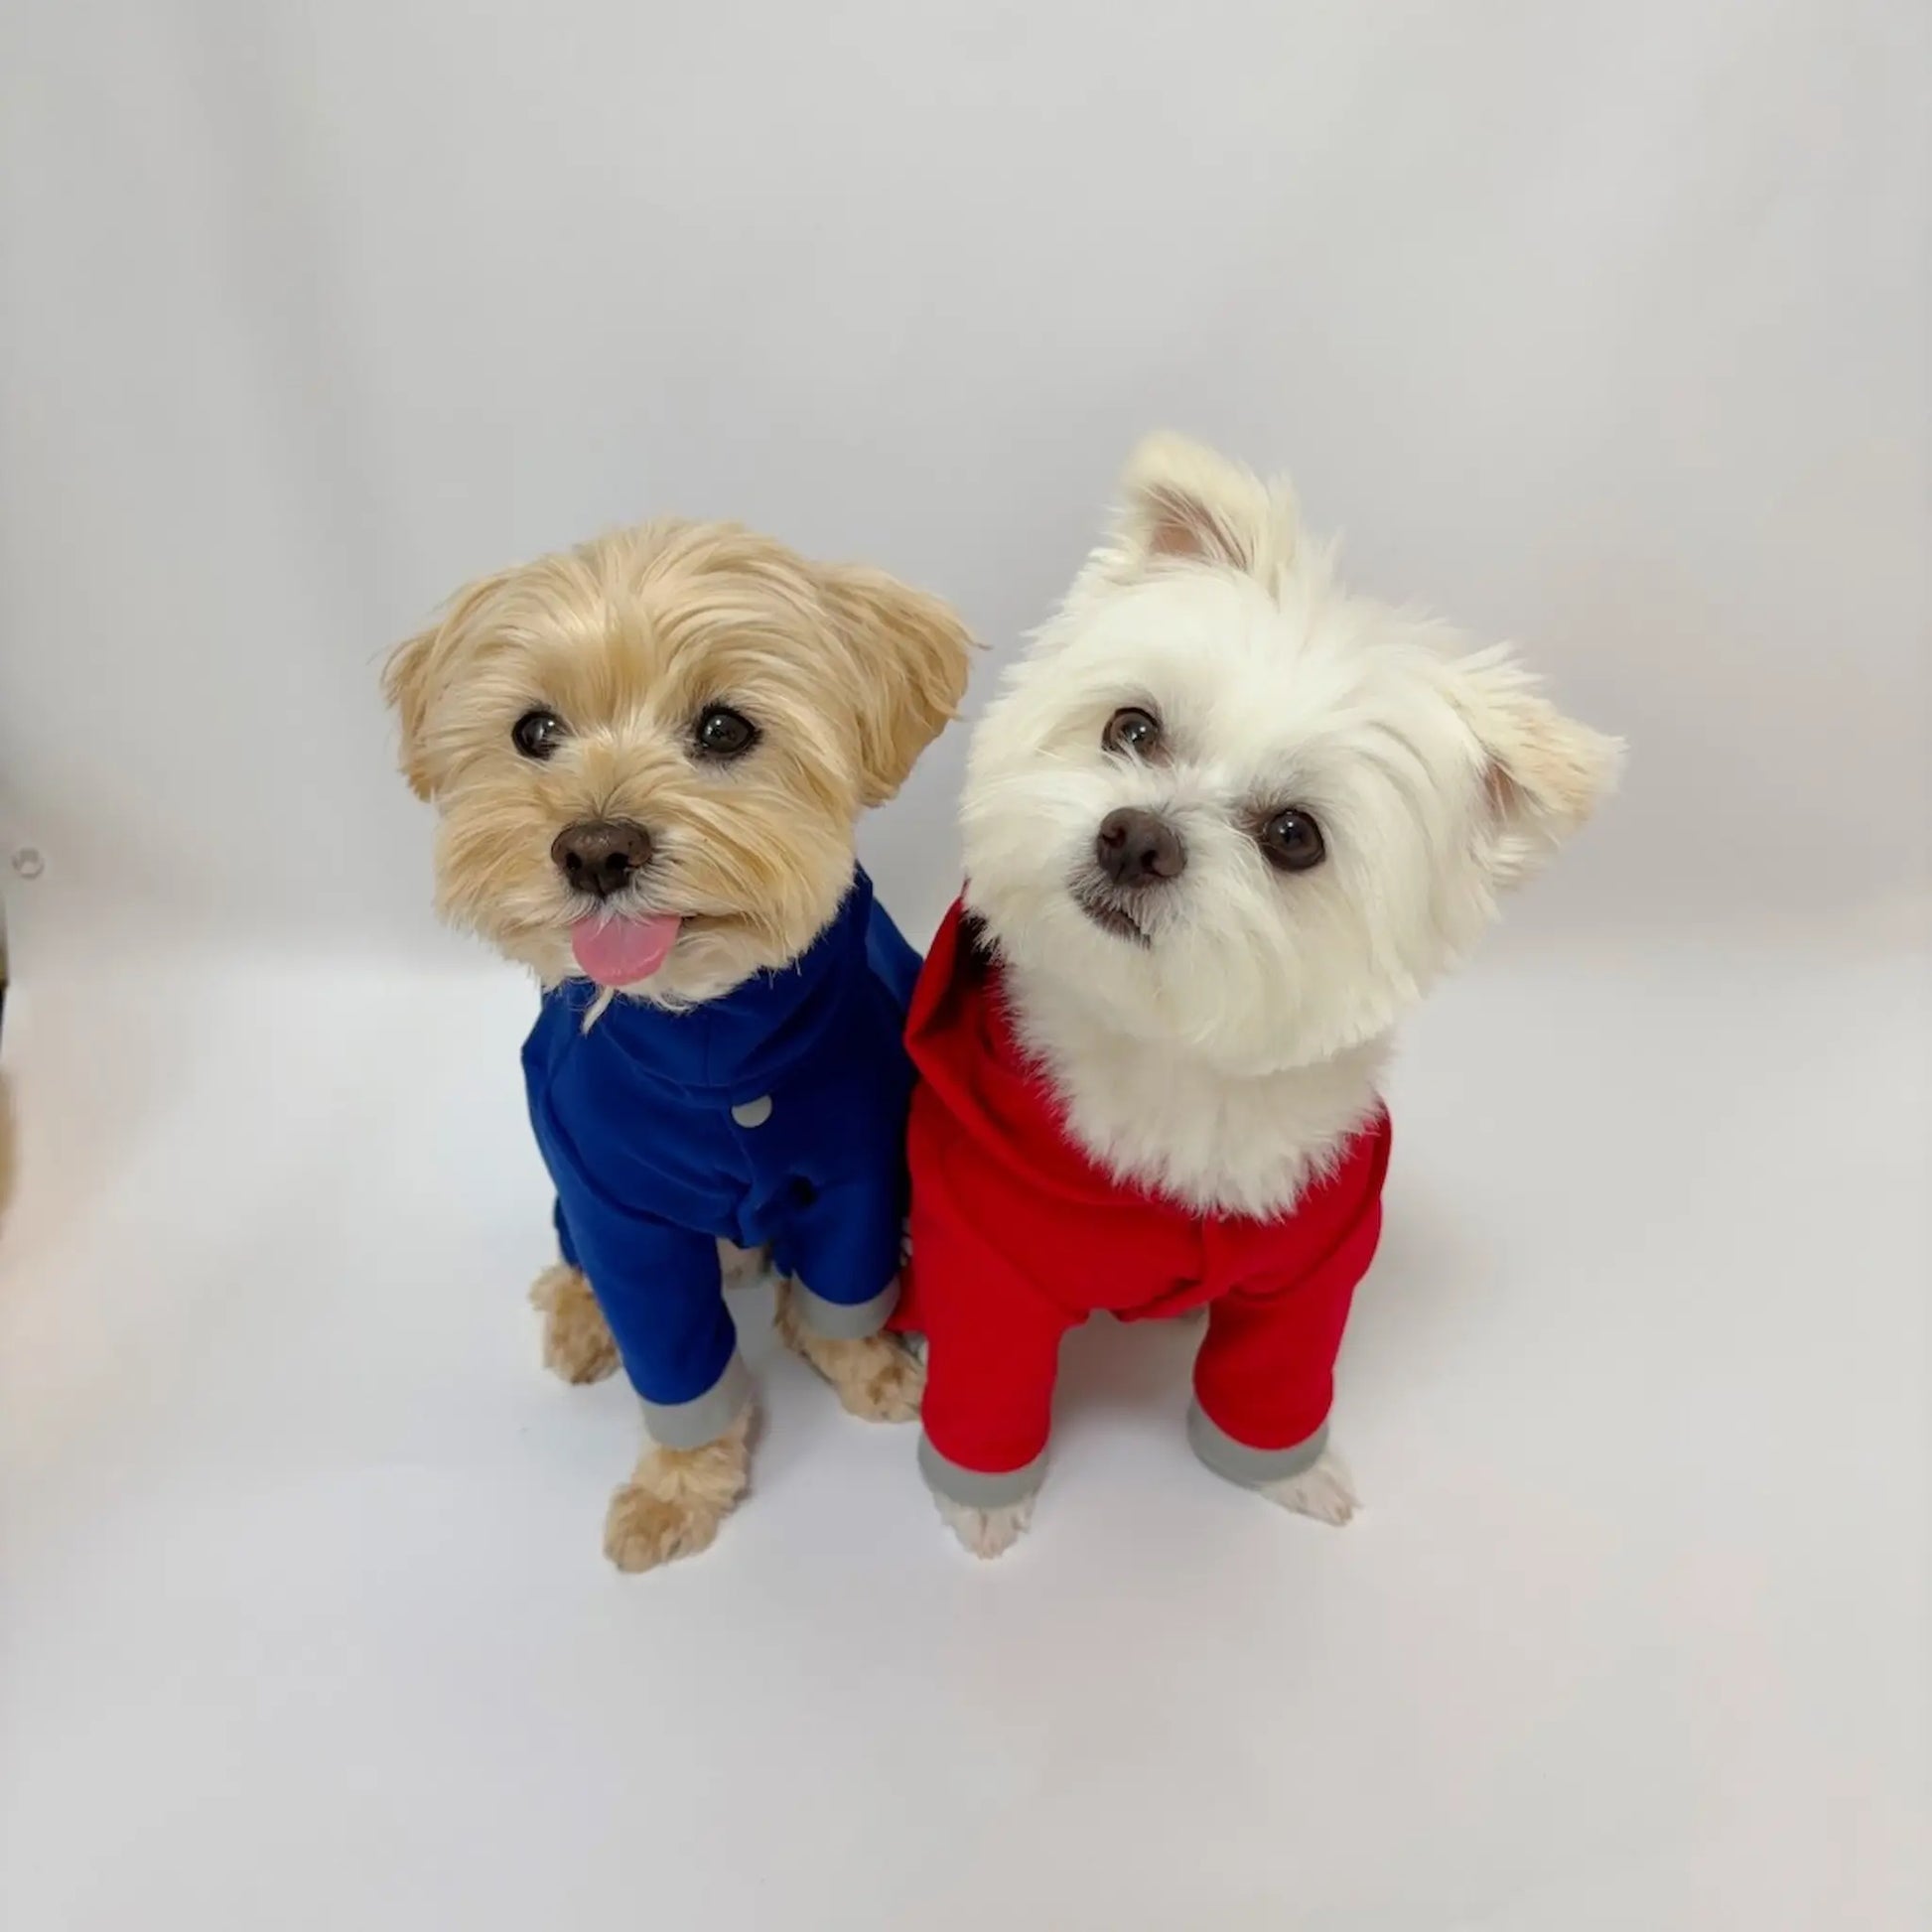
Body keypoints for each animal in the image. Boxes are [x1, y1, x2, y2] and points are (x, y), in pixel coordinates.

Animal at [385, 519, 972, 1570]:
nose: (595, 849)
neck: (711, 1048)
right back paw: (581, 1322)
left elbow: (848, 1290)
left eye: (726, 729)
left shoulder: (862, 1173)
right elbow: (673, 1358)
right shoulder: (618, 1210)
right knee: (577, 1263)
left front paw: (865, 1369)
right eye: (534, 732)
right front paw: (679, 1488)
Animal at [896, 434, 1619, 1557]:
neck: (1166, 1064)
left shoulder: (1317, 1265)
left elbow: (1273, 1382)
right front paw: (983, 1500)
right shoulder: (981, 1250)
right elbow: (986, 1379)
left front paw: (1291, 1476)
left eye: (1293, 835)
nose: (1135, 837)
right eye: (1132, 727)